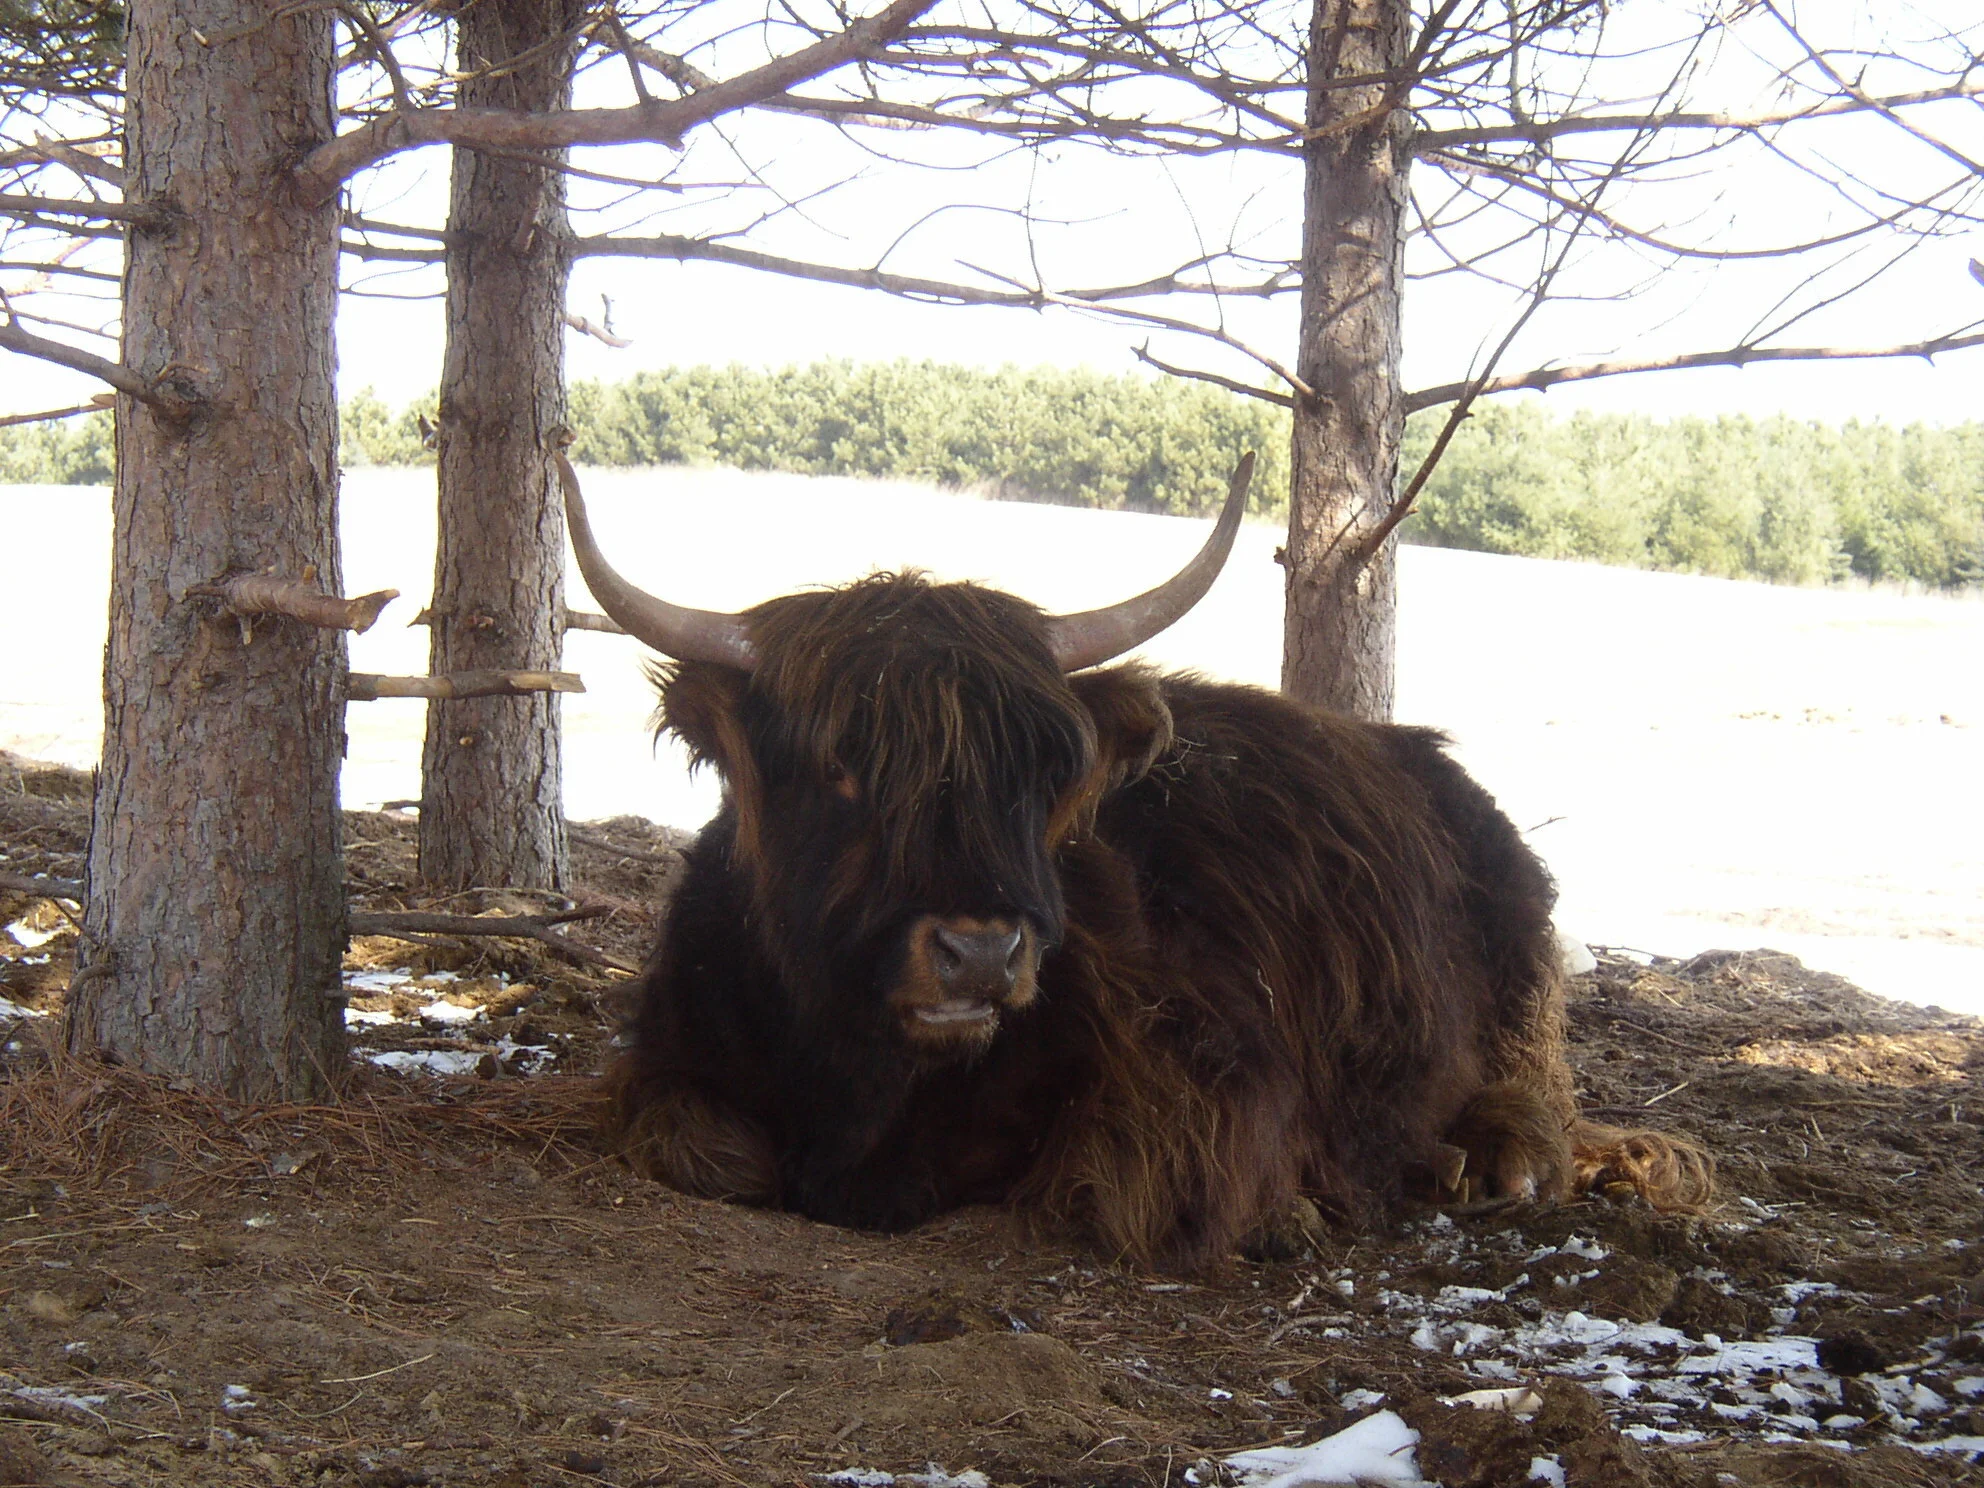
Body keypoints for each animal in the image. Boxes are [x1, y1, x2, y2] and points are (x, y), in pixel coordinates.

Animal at [561, 452, 1710, 1269]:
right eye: (841, 766)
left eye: (1043, 772)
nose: (982, 953)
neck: (867, 1082)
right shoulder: (668, 1062)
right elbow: (704, 1148)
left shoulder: (1203, 1075)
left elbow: (1111, 1181)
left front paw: (1287, 1211)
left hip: (1520, 974)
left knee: (1538, 1101)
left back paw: (1486, 1158)